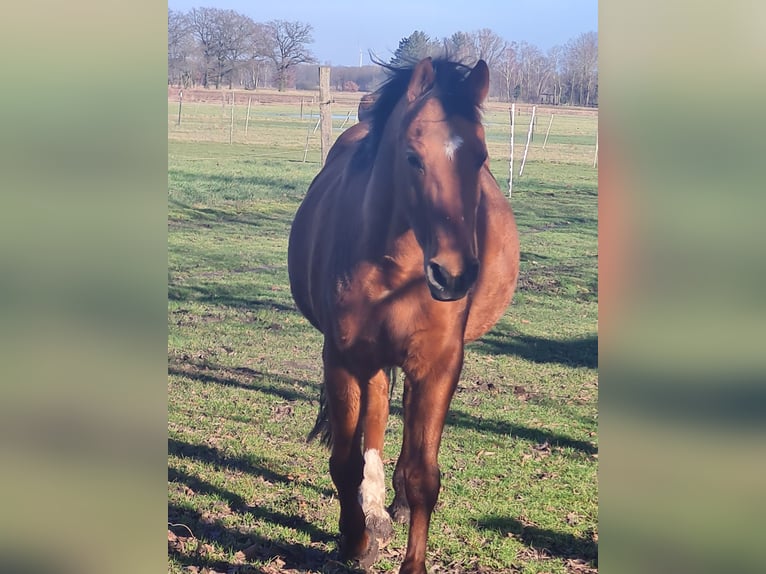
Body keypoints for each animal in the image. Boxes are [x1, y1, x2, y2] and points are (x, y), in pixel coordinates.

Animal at [288, 56, 520, 572]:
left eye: (480, 157)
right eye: (413, 157)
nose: (453, 275)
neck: (393, 267)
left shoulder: (437, 364)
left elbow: (423, 476)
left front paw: (412, 561)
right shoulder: (344, 358)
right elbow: (345, 461)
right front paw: (355, 540)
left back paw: (387, 505)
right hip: (369, 362)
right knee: (371, 422)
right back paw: (371, 515)